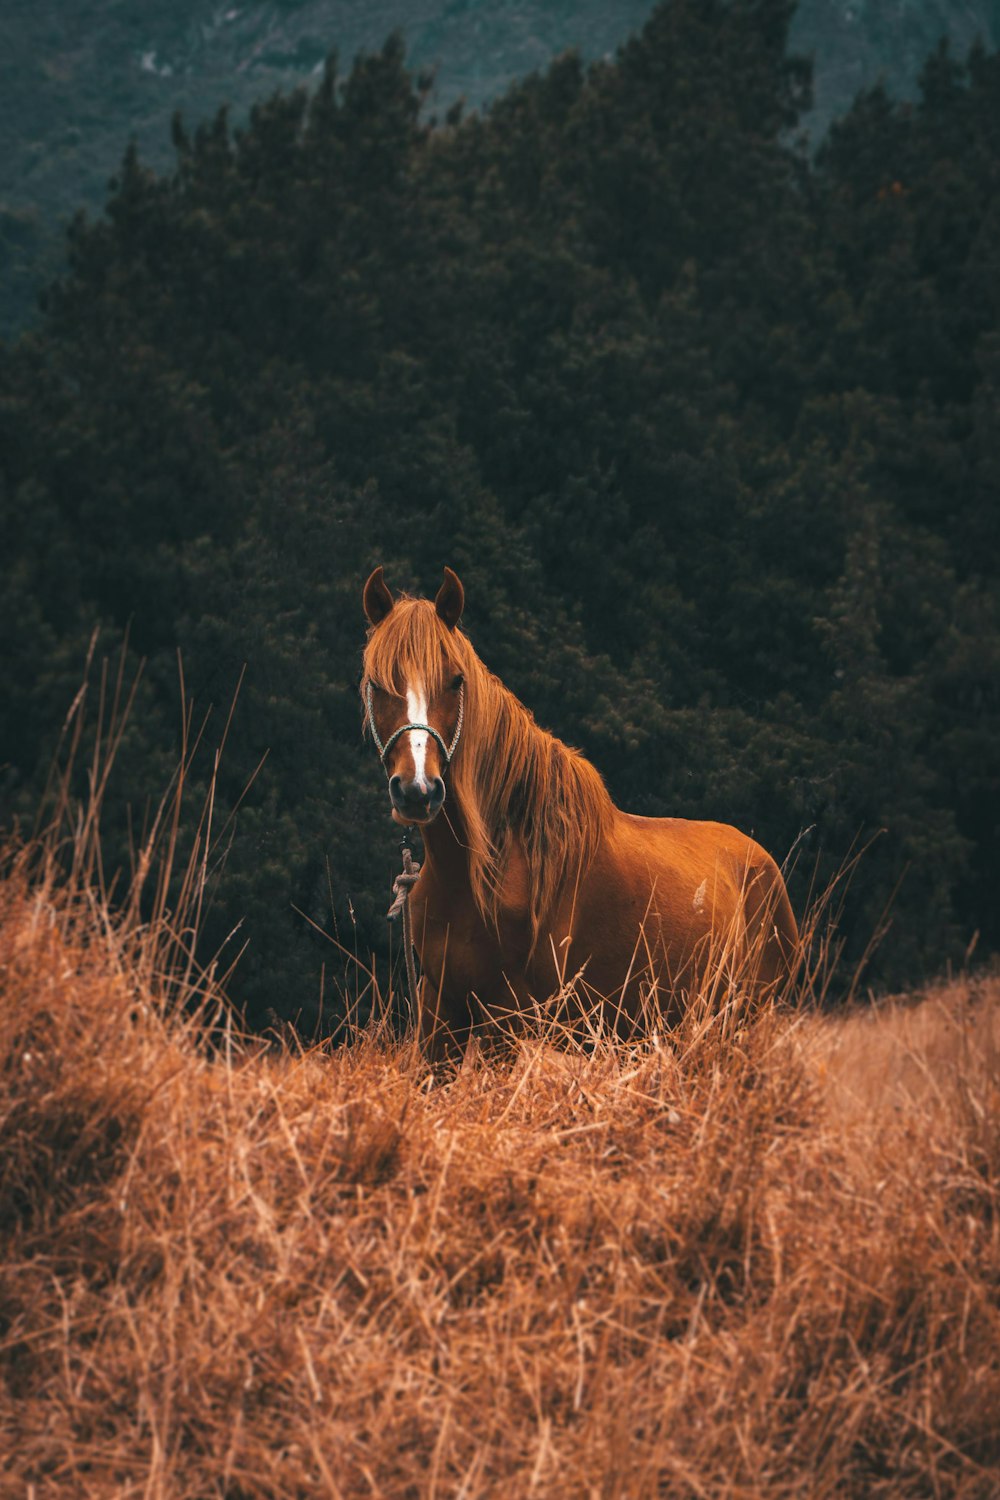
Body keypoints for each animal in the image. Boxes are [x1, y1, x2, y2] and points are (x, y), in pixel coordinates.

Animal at [364, 567, 803, 1062]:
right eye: (376, 684)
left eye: (456, 680)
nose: (417, 790)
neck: (488, 868)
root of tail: (765, 865)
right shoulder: (440, 1014)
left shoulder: (505, 1021)